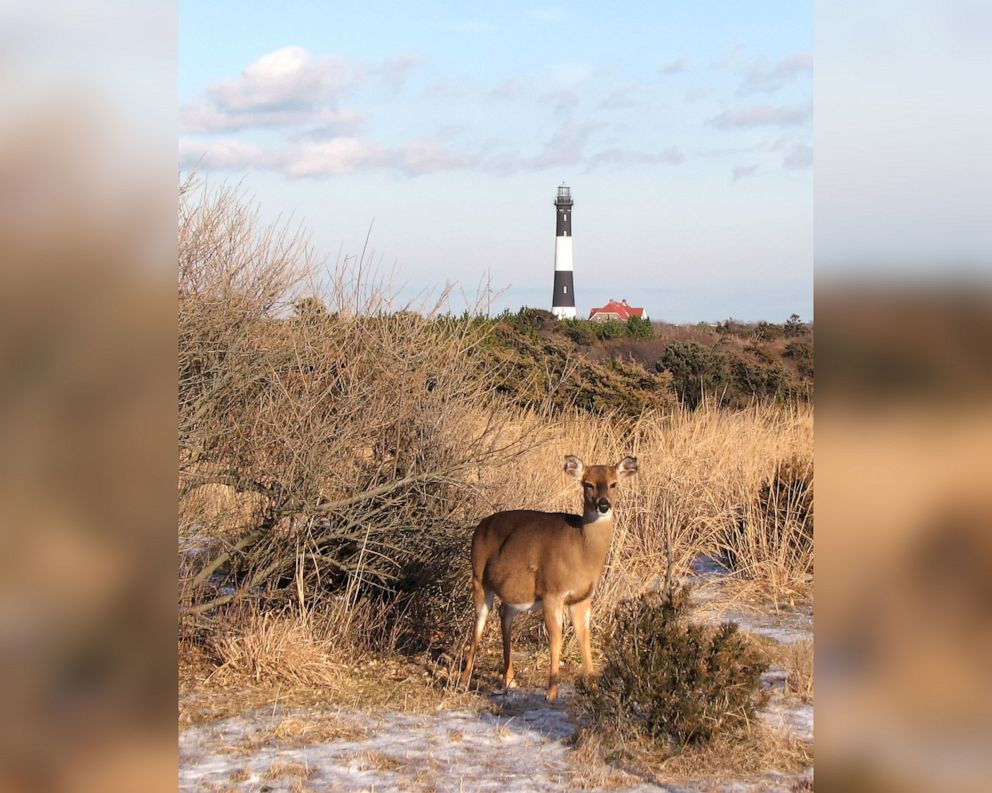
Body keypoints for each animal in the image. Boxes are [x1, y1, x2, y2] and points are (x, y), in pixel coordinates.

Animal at [462, 452, 640, 700]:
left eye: (614, 483)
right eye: (588, 484)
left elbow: (584, 637)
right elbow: (556, 639)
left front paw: (594, 687)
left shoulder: (582, 597)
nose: (604, 505)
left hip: (515, 592)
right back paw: (463, 681)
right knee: (478, 623)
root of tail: (479, 527)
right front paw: (551, 692)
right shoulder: (552, 592)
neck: (582, 551)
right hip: (479, 578)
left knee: (504, 613)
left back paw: (510, 680)